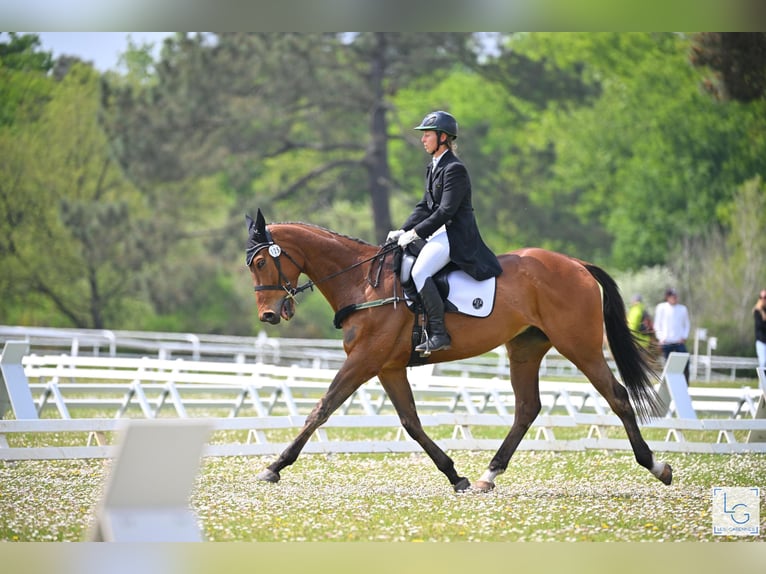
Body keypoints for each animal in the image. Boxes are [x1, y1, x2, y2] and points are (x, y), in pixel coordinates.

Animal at [244, 210, 673, 492]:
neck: (363, 282)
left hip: (580, 347)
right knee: (527, 409)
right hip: (525, 349)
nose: (268, 314)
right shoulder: (388, 367)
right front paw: (455, 475)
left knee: (617, 396)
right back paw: (488, 475)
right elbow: (412, 423)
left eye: (262, 261)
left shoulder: (364, 360)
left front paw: (274, 466)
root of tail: (576, 264)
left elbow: (322, 409)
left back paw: (656, 466)